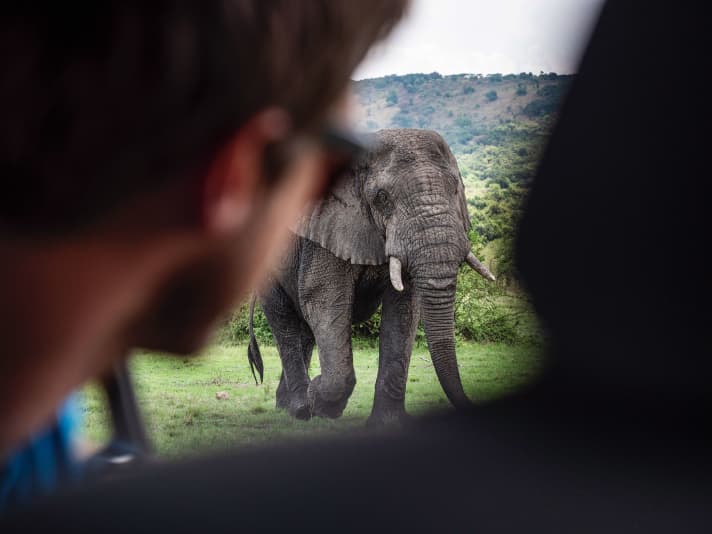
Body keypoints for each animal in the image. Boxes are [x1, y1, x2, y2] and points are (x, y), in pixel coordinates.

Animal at [247, 129, 495, 426]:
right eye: (382, 197)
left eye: (455, 188)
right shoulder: (325, 232)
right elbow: (323, 301)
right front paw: (320, 399)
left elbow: (404, 310)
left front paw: (388, 424)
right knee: (286, 323)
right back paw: (300, 409)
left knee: (303, 331)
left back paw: (287, 406)